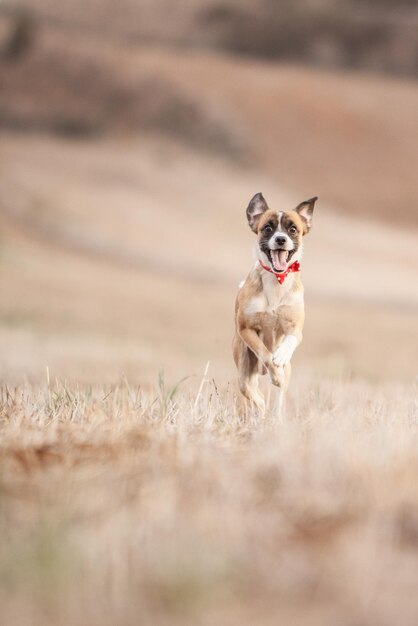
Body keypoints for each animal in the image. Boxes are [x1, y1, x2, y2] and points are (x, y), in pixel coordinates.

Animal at [232, 190, 316, 414]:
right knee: (252, 392)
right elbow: (264, 352)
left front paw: (281, 355)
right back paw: (261, 408)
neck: (276, 280)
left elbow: (289, 340)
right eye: (267, 228)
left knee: (279, 396)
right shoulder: (246, 329)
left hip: (288, 372)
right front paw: (274, 368)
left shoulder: (296, 328)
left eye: (293, 229)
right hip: (244, 366)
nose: (280, 239)